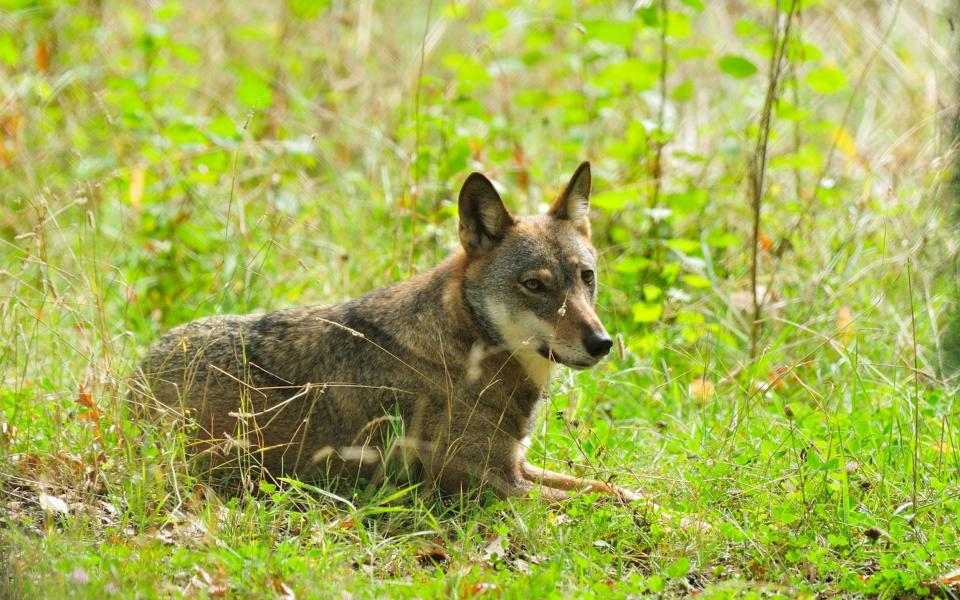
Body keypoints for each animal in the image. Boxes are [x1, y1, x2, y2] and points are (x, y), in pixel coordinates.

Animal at [135, 163, 640, 502]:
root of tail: (133, 380)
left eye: (586, 277)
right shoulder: (493, 484)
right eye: (535, 285)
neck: (466, 348)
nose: (601, 344)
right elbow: (596, 503)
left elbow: (617, 491)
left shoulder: (519, 465)